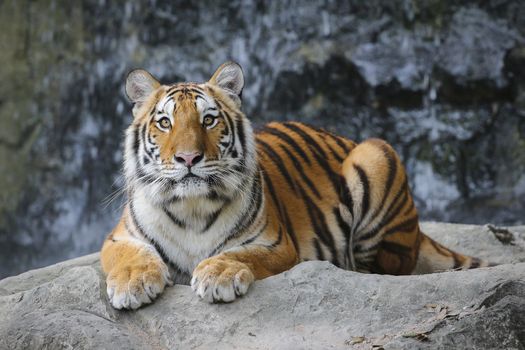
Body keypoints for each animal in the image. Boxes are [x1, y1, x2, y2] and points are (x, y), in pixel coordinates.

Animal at [100, 60, 490, 308]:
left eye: (208, 120)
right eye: (164, 123)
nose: (188, 158)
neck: (191, 207)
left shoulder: (274, 244)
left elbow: (237, 253)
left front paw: (218, 275)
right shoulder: (120, 237)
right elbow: (131, 256)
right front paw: (133, 284)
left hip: (377, 153)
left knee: (386, 269)